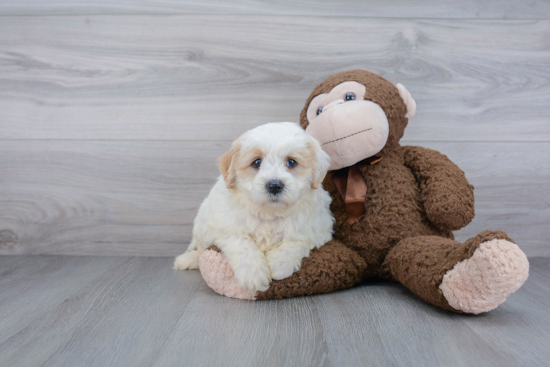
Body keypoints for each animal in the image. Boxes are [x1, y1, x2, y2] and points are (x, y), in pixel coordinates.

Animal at [175, 122, 334, 294]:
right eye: (256, 163)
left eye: (291, 162)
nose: (274, 185)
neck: (270, 213)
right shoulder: (224, 228)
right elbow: (242, 243)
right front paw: (253, 275)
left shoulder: (317, 229)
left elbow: (297, 241)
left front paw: (279, 264)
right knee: (200, 249)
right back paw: (187, 259)